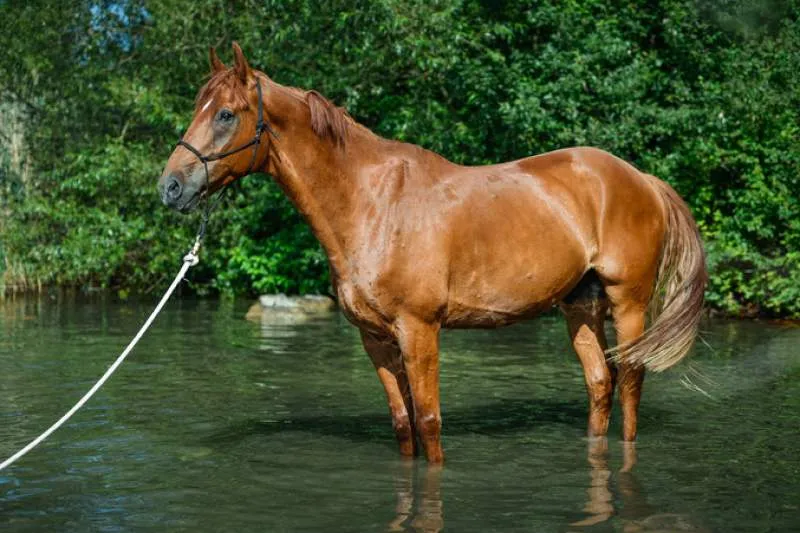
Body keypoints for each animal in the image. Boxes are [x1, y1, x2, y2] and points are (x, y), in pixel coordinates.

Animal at [158, 43, 708, 464]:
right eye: (199, 108)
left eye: (225, 114)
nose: (171, 187)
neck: (372, 204)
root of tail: (642, 179)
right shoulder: (376, 339)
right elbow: (404, 424)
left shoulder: (419, 330)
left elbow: (429, 421)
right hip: (581, 305)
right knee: (599, 383)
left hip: (628, 304)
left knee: (630, 381)